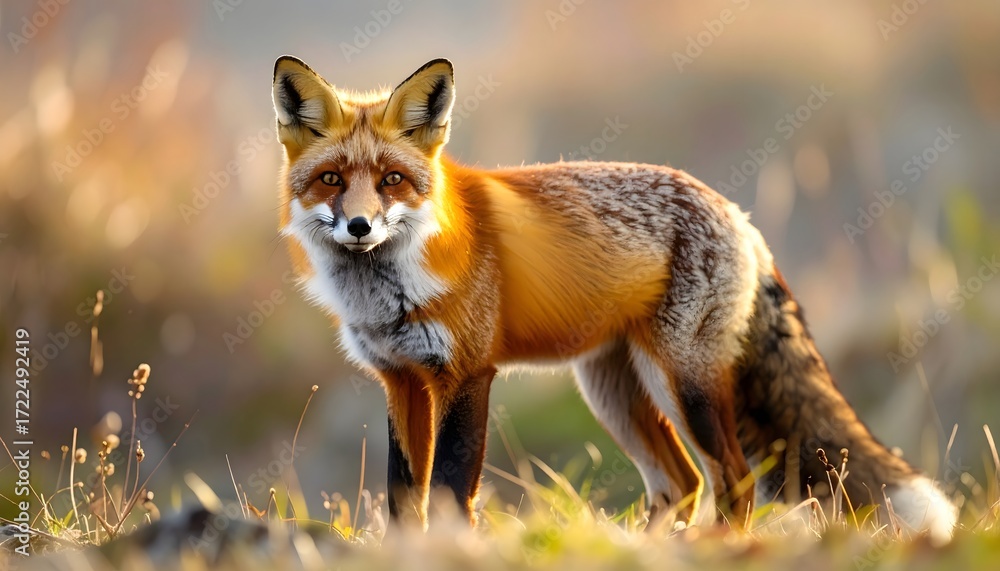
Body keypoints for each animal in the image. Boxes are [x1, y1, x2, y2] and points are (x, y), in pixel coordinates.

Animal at [270, 56, 958, 541]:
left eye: (392, 180)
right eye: (331, 179)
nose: (360, 226)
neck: (389, 291)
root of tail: (736, 212)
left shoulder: (467, 375)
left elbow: (448, 488)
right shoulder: (402, 380)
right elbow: (402, 495)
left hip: (684, 384)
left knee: (734, 482)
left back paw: (714, 549)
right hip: (614, 391)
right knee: (681, 483)